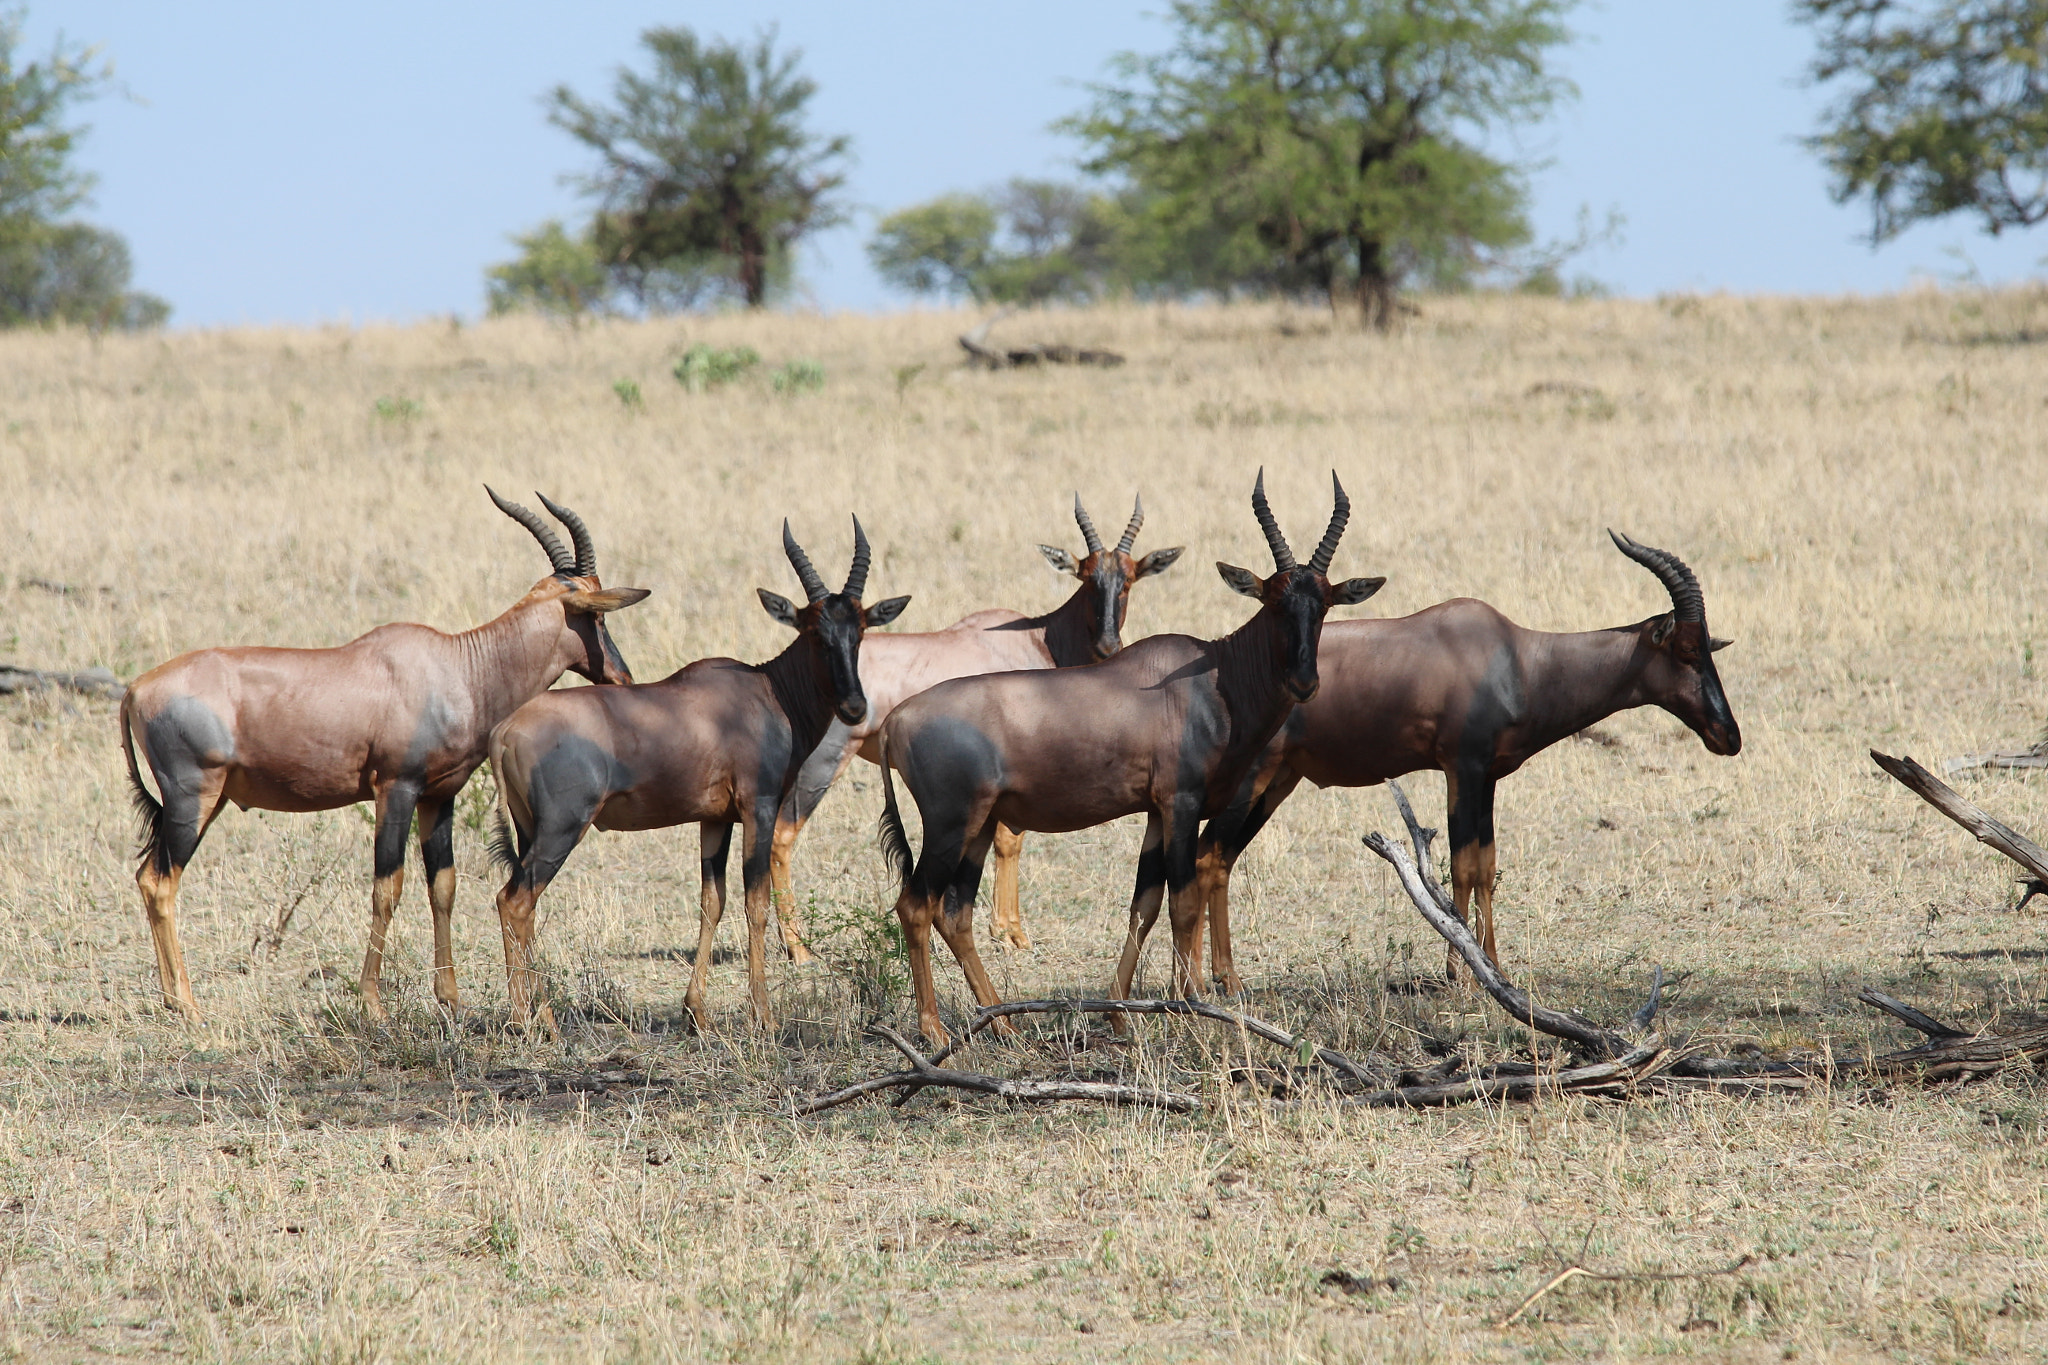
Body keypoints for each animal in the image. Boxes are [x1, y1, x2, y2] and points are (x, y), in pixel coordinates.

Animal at [121, 489, 647, 1015]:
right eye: (596, 614)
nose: (623, 679)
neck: (459, 665)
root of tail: (136, 688)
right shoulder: (395, 788)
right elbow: (386, 889)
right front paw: (372, 1002)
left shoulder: (438, 796)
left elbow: (443, 886)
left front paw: (450, 998)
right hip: (193, 797)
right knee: (161, 882)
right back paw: (188, 1006)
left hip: (206, 801)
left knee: (148, 876)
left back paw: (172, 1000)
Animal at [483, 517, 909, 1031]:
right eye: (813, 632)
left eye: (860, 630)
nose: (854, 708)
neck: (766, 691)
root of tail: (506, 730)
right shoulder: (759, 808)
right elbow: (754, 903)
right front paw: (763, 1016)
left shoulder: (715, 819)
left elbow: (713, 902)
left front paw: (697, 1011)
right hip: (560, 830)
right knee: (514, 901)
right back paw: (532, 1022)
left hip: (529, 830)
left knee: (519, 904)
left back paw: (537, 1014)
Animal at [770, 497, 1187, 957]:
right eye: (1086, 577)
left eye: (1128, 579)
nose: (1108, 646)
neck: (1035, 637)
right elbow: (1011, 840)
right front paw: (1011, 933)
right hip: (823, 762)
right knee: (781, 835)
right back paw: (798, 947)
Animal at [872, 470, 1384, 1047]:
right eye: (1273, 600)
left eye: (1325, 602)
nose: (1304, 682)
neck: (1211, 677)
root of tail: (897, 720)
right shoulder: (1182, 804)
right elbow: (1183, 903)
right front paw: (1192, 1007)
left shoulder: (1157, 813)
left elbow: (1145, 905)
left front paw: (1118, 1014)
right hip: (949, 824)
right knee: (916, 906)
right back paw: (935, 1031)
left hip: (979, 826)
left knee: (955, 912)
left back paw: (1002, 1022)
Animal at [1196, 527, 1736, 986]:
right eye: (1686, 649)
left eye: (1710, 647)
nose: (1728, 737)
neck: (1515, 657)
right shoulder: (1462, 770)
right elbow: (1461, 867)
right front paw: (1462, 973)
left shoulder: (1488, 778)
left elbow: (1487, 867)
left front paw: (1492, 966)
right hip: (1253, 778)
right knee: (1208, 857)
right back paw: (1219, 980)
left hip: (1279, 781)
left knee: (1219, 857)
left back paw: (1220, 978)